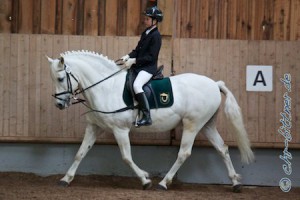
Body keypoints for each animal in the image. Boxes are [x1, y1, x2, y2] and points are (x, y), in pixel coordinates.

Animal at [46, 50, 253, 192]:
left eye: (61, 78)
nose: (59, 104)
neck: (106, 87)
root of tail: (214, 84)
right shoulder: (94, 127)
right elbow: (80, 153)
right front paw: (66, 179)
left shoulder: (120, 130)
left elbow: (126, 157)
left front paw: (145, 180)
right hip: (207, 125)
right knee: (222, 149)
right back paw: (235, 182)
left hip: (192, 125)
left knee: (184, 153)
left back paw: (163, 183)